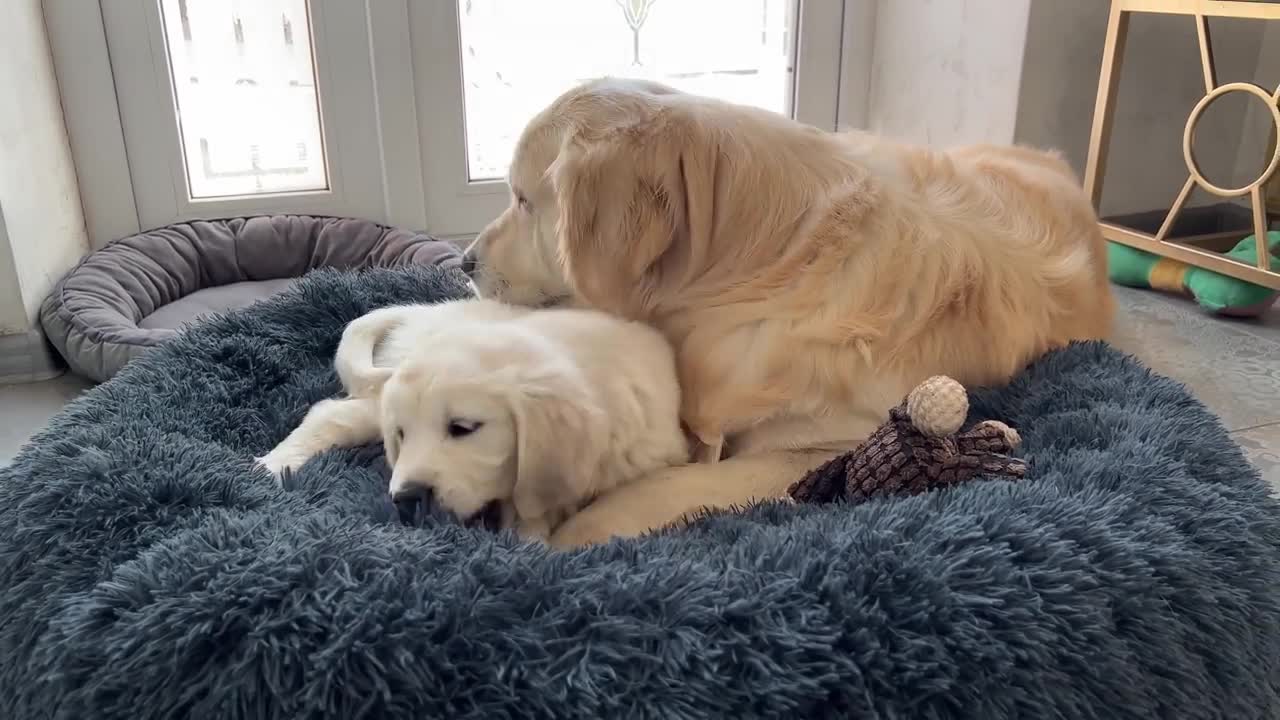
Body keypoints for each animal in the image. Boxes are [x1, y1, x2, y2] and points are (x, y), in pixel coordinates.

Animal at [258, 297, 691, 538]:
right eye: (402, 435)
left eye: (463, 428)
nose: (406, 498)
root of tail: (421, 313)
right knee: (329, 413)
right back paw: (271, 467)